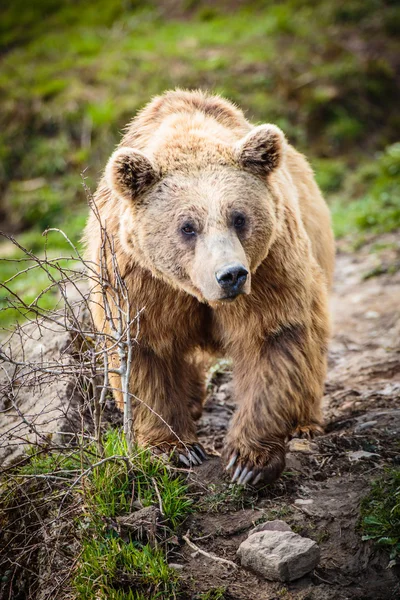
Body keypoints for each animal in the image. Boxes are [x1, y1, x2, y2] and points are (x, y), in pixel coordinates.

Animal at [86, 88, 336, 482]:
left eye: (239, 217)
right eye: (187, 226)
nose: (231, 275)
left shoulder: (269, 267)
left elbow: (273, 338)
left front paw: (248, 461)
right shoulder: (139, 280)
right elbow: (144, 350)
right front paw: (175, 448)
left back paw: (305, 423)